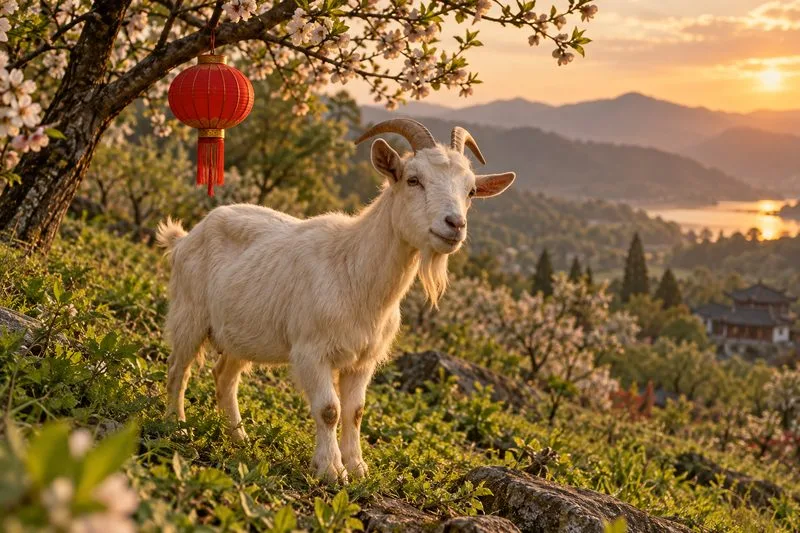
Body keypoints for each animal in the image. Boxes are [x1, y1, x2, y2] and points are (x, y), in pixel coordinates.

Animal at [157, 119, 515, 481]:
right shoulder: (311, 351)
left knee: (224, 377)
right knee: (178, 368)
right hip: (189, 314)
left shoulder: (362, 362)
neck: (354, 271)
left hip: (241, 335)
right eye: (413, 179)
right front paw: (330, 469)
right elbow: (329, 409)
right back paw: (176, 424)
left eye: (471, 191)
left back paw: (238, 438)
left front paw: (357, 468)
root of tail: (186, 237)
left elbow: (355, 411)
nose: (454, 224)